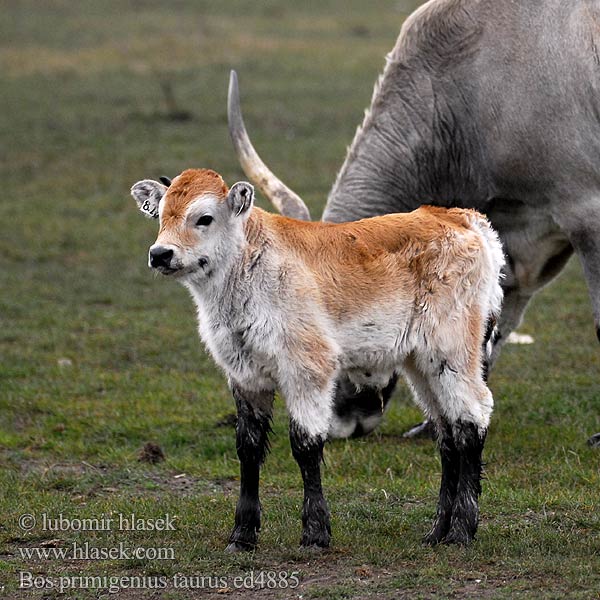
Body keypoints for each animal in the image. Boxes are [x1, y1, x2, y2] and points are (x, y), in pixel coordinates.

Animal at [132, 168, 506, 548]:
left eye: (204, 218)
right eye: (161, 216)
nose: (160, 254)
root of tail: (460, 217)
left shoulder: (307, 367)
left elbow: (305, 445)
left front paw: (315, 532)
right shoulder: (245, 375)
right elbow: (248, 447)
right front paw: (242, 534)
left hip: (452, 351)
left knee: (471, 420)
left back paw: (461, 530)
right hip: (422, 364)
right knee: (447, 434)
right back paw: (438, 531)